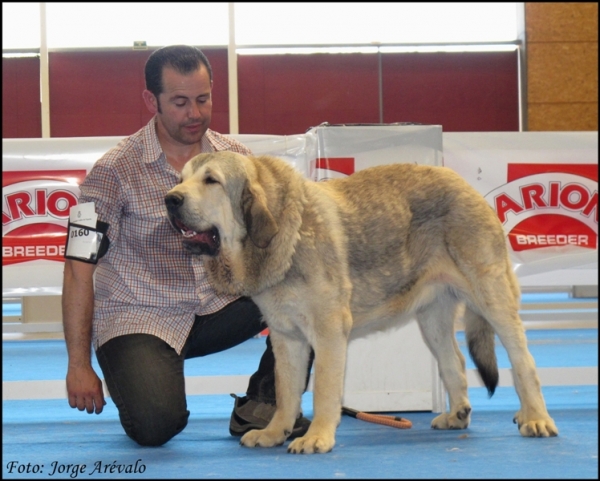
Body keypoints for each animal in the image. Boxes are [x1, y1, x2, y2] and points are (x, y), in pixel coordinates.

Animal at [163, 152, 556, 452]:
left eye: (211, 180)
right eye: (181, 178)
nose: (171, 199)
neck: (282, 234)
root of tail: (466, 187)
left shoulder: (328, 333)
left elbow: (323, 389)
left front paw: (317, 437)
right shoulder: (286, 338)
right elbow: (286, 392)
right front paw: (275, 433)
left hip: (492, 297)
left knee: (523, 360)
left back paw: (536, 417)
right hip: (432, 319)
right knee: (454, 361)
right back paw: (458, 414)